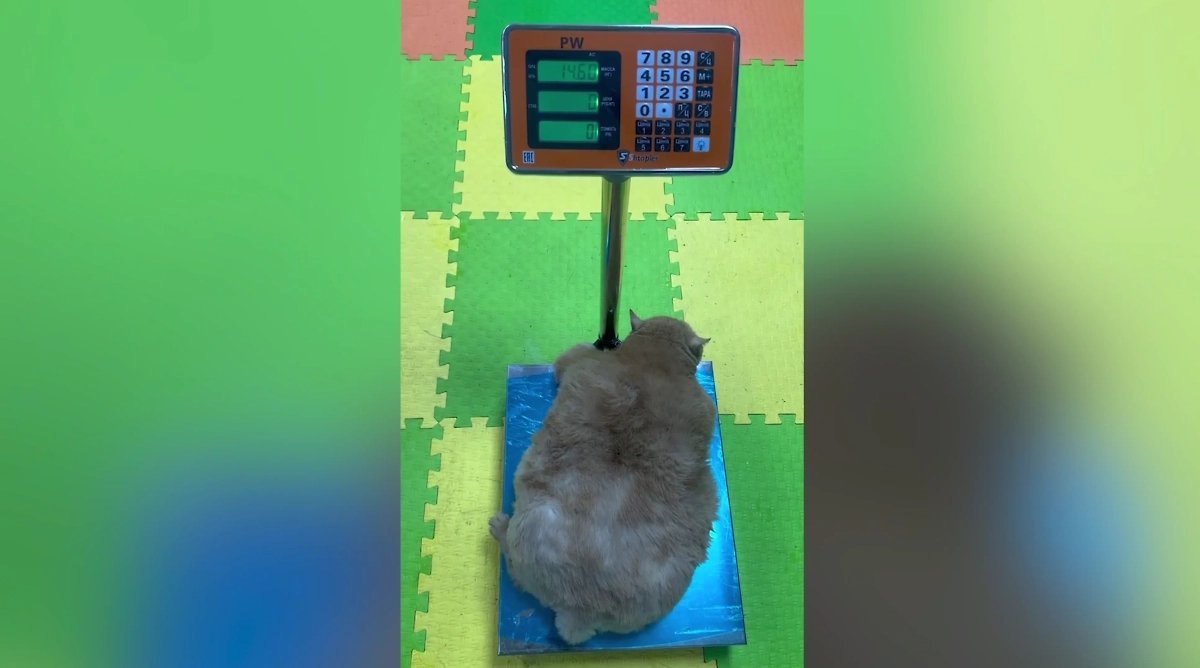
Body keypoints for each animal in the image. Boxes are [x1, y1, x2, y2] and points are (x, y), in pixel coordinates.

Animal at [489, 311, 718, 645]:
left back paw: (499, 527)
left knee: (512, 565)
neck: (655, 359)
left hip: (528, 529)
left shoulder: (575, 359)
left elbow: (577, 352)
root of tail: (582, 608)